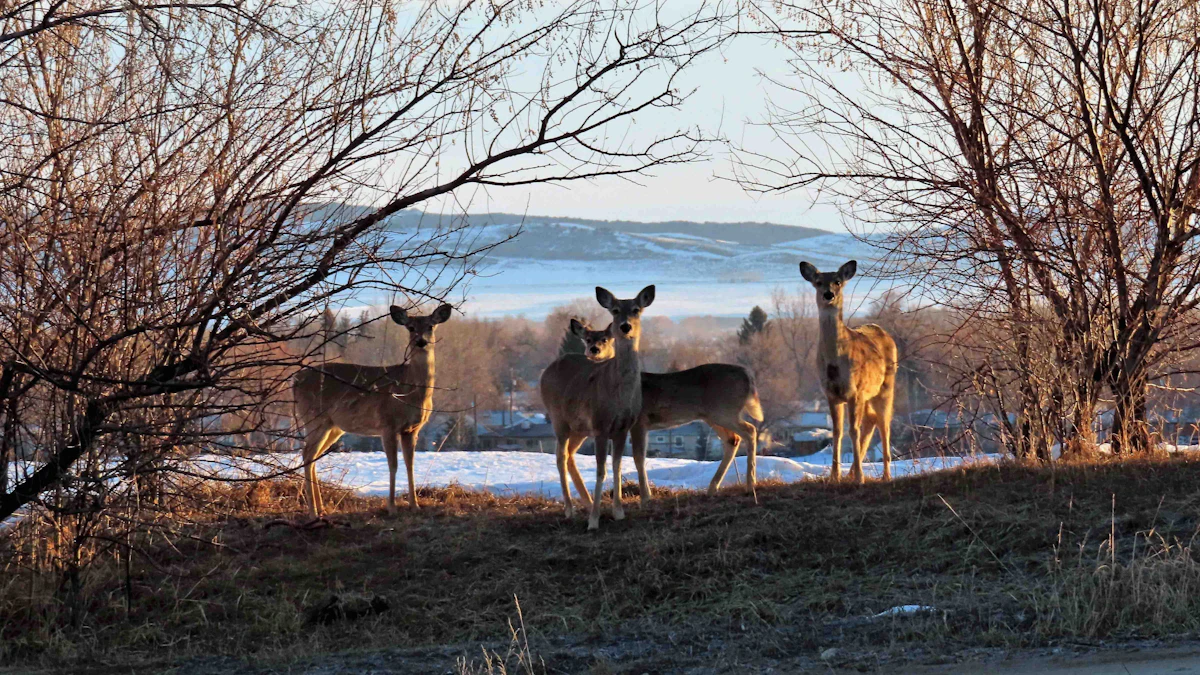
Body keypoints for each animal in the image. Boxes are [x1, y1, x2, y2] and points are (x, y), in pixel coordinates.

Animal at [292, 303, 452, 517]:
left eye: (430, 326)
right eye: (410, 327)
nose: (421, 342)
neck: (410, 390)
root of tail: (295, 380)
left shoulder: (411, 429)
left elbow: (410, 465)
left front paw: (415, 505)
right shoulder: (387, 424)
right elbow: (393, 465)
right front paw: (392, 507)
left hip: (333, 426)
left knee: (313, 456)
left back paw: (321, 508)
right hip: (314, 418)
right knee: (307, 454)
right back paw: (313, 512)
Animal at [539, 285, 654, 531]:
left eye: (636, 309)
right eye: (615, 310)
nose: (625, 326)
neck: (619, 396)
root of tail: (547, 370)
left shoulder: (622, 428)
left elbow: (617, 467)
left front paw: (618, 512)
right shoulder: (601, 425)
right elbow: (601, 470)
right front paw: (594, 520)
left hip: (580, 428)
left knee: (570, 455)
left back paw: (588, 501)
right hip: (558, 418)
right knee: (560, 456)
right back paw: (570, 508)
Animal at [578, 324, 764, 500]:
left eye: (605, 339)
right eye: (587, 339)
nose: (594, 349)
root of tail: (748, 376)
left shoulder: (640, 421)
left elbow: (638, 457)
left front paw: (646, 495)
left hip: (725, 411)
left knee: (750, 430)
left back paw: (750, 485)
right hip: (712, 416)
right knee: (733, 439)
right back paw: (713, 488)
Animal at [799, 260, 898, 483]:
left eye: (837, 281)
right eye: (818, 282)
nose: (828, 294)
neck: (835, 362)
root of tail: (885, 333)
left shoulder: (855, 391)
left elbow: (853, 431)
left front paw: (860, 477)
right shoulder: (831, 394)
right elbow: (837, 432)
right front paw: (834, 477)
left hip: (886, 387)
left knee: (884, 423)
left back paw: (886, 475)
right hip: (869, 394)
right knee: (871, 420)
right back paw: (852, 472)